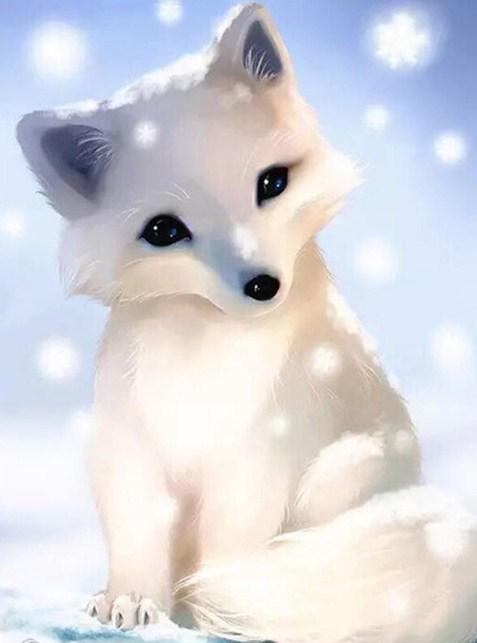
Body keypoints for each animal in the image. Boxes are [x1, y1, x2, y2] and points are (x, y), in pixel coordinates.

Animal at [16, 3, 477, 642]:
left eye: (272, 183)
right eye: (164, 230)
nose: (263, 286)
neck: (201, 353)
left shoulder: (257, 458)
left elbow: (227, 549)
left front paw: (210, 609)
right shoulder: (128, 447)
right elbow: (136, 534)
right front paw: (131, 601)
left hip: (339, 472)